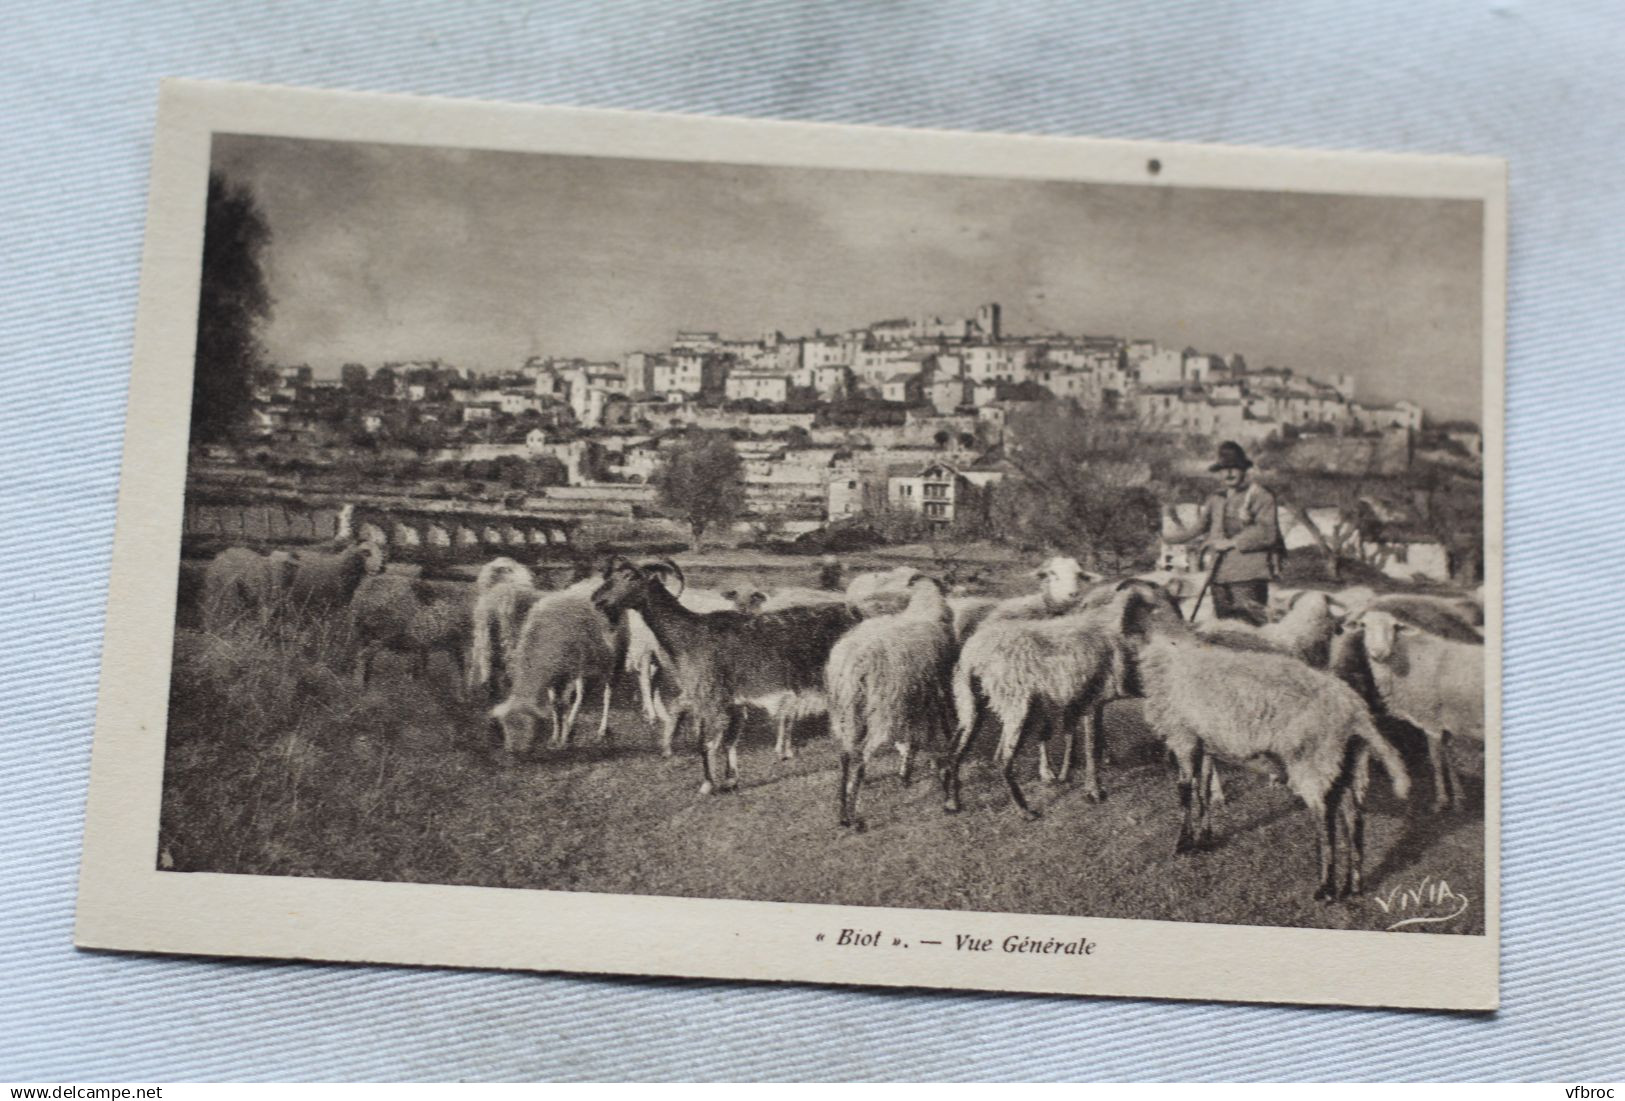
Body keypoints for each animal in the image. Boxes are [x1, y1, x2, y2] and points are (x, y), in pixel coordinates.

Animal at [591, 561, 858, 792]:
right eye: (613, 575)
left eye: (631, 577)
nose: (597, 599)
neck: (690, 634)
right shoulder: (733, 702)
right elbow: (730, 741)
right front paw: (731, 780)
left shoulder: (711, 698)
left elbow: (706, 742)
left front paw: (708, 785)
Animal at [1131, 587, 1410, 902]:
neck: (1171, 646)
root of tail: (1354, 712)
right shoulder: (1197, 737)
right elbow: (1199, 788)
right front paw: (1202, 837)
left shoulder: (1184, 736)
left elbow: (1185, 790)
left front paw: (1184, 842)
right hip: (1346, 762)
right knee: (1353, 819)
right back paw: (1354, 885)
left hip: (1314, 760)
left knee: (1326, 822)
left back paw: (1326, 888)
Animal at [1358, 613, 1488, 811]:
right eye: (1364, 625)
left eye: (1394, 627)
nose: (1378, 652)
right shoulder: (1444, 723)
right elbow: (1448, 759)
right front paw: (1458, 799)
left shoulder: (1430, 720)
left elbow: (1435, 761)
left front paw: (1441, 801)